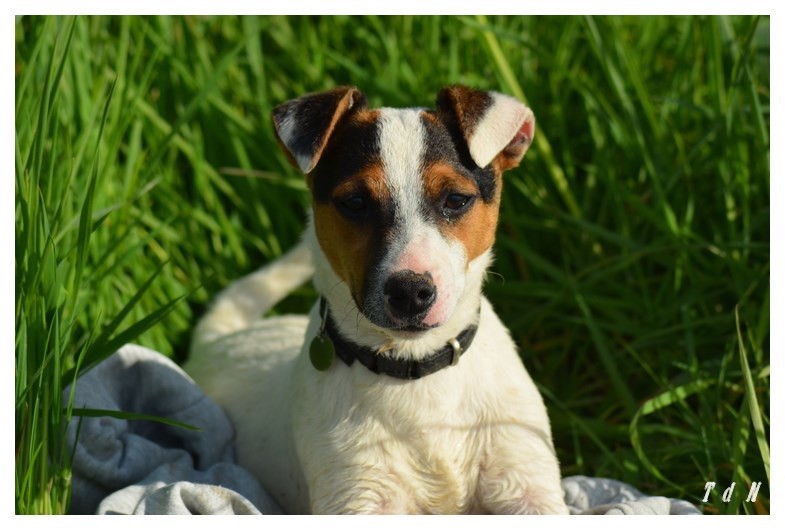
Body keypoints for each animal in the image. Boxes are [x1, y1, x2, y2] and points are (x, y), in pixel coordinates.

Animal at [188, 85, 568, 512]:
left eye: (456, 199)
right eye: (355, 203)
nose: (410, 292)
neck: (414, 368)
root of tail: (218, 338)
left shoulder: (524, 476)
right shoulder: (356, 492)